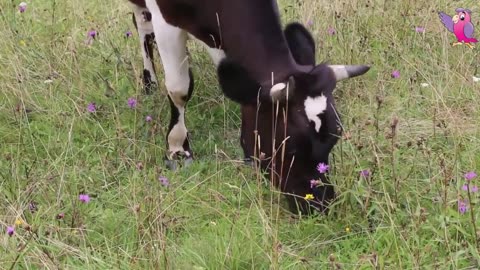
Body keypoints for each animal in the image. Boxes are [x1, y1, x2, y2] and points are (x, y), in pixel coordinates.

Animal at [125, 0, 370, 215]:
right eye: (290, 148)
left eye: (334, 139)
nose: (319, 205)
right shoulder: (166, 21)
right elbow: (179, 88)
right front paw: (177, 149)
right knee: (142, 23)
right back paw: (150, 82)